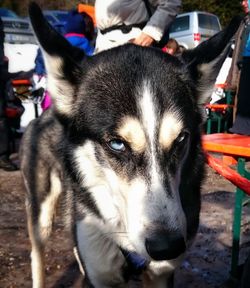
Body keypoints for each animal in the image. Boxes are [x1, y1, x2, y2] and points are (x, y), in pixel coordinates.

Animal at [21, 2, 242, 288]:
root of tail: (47, 112)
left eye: (181, 139)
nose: (167, 246)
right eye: (117, 144)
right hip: (42, 214)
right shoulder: (100, 274)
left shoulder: (161, 275)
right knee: (37, 252)